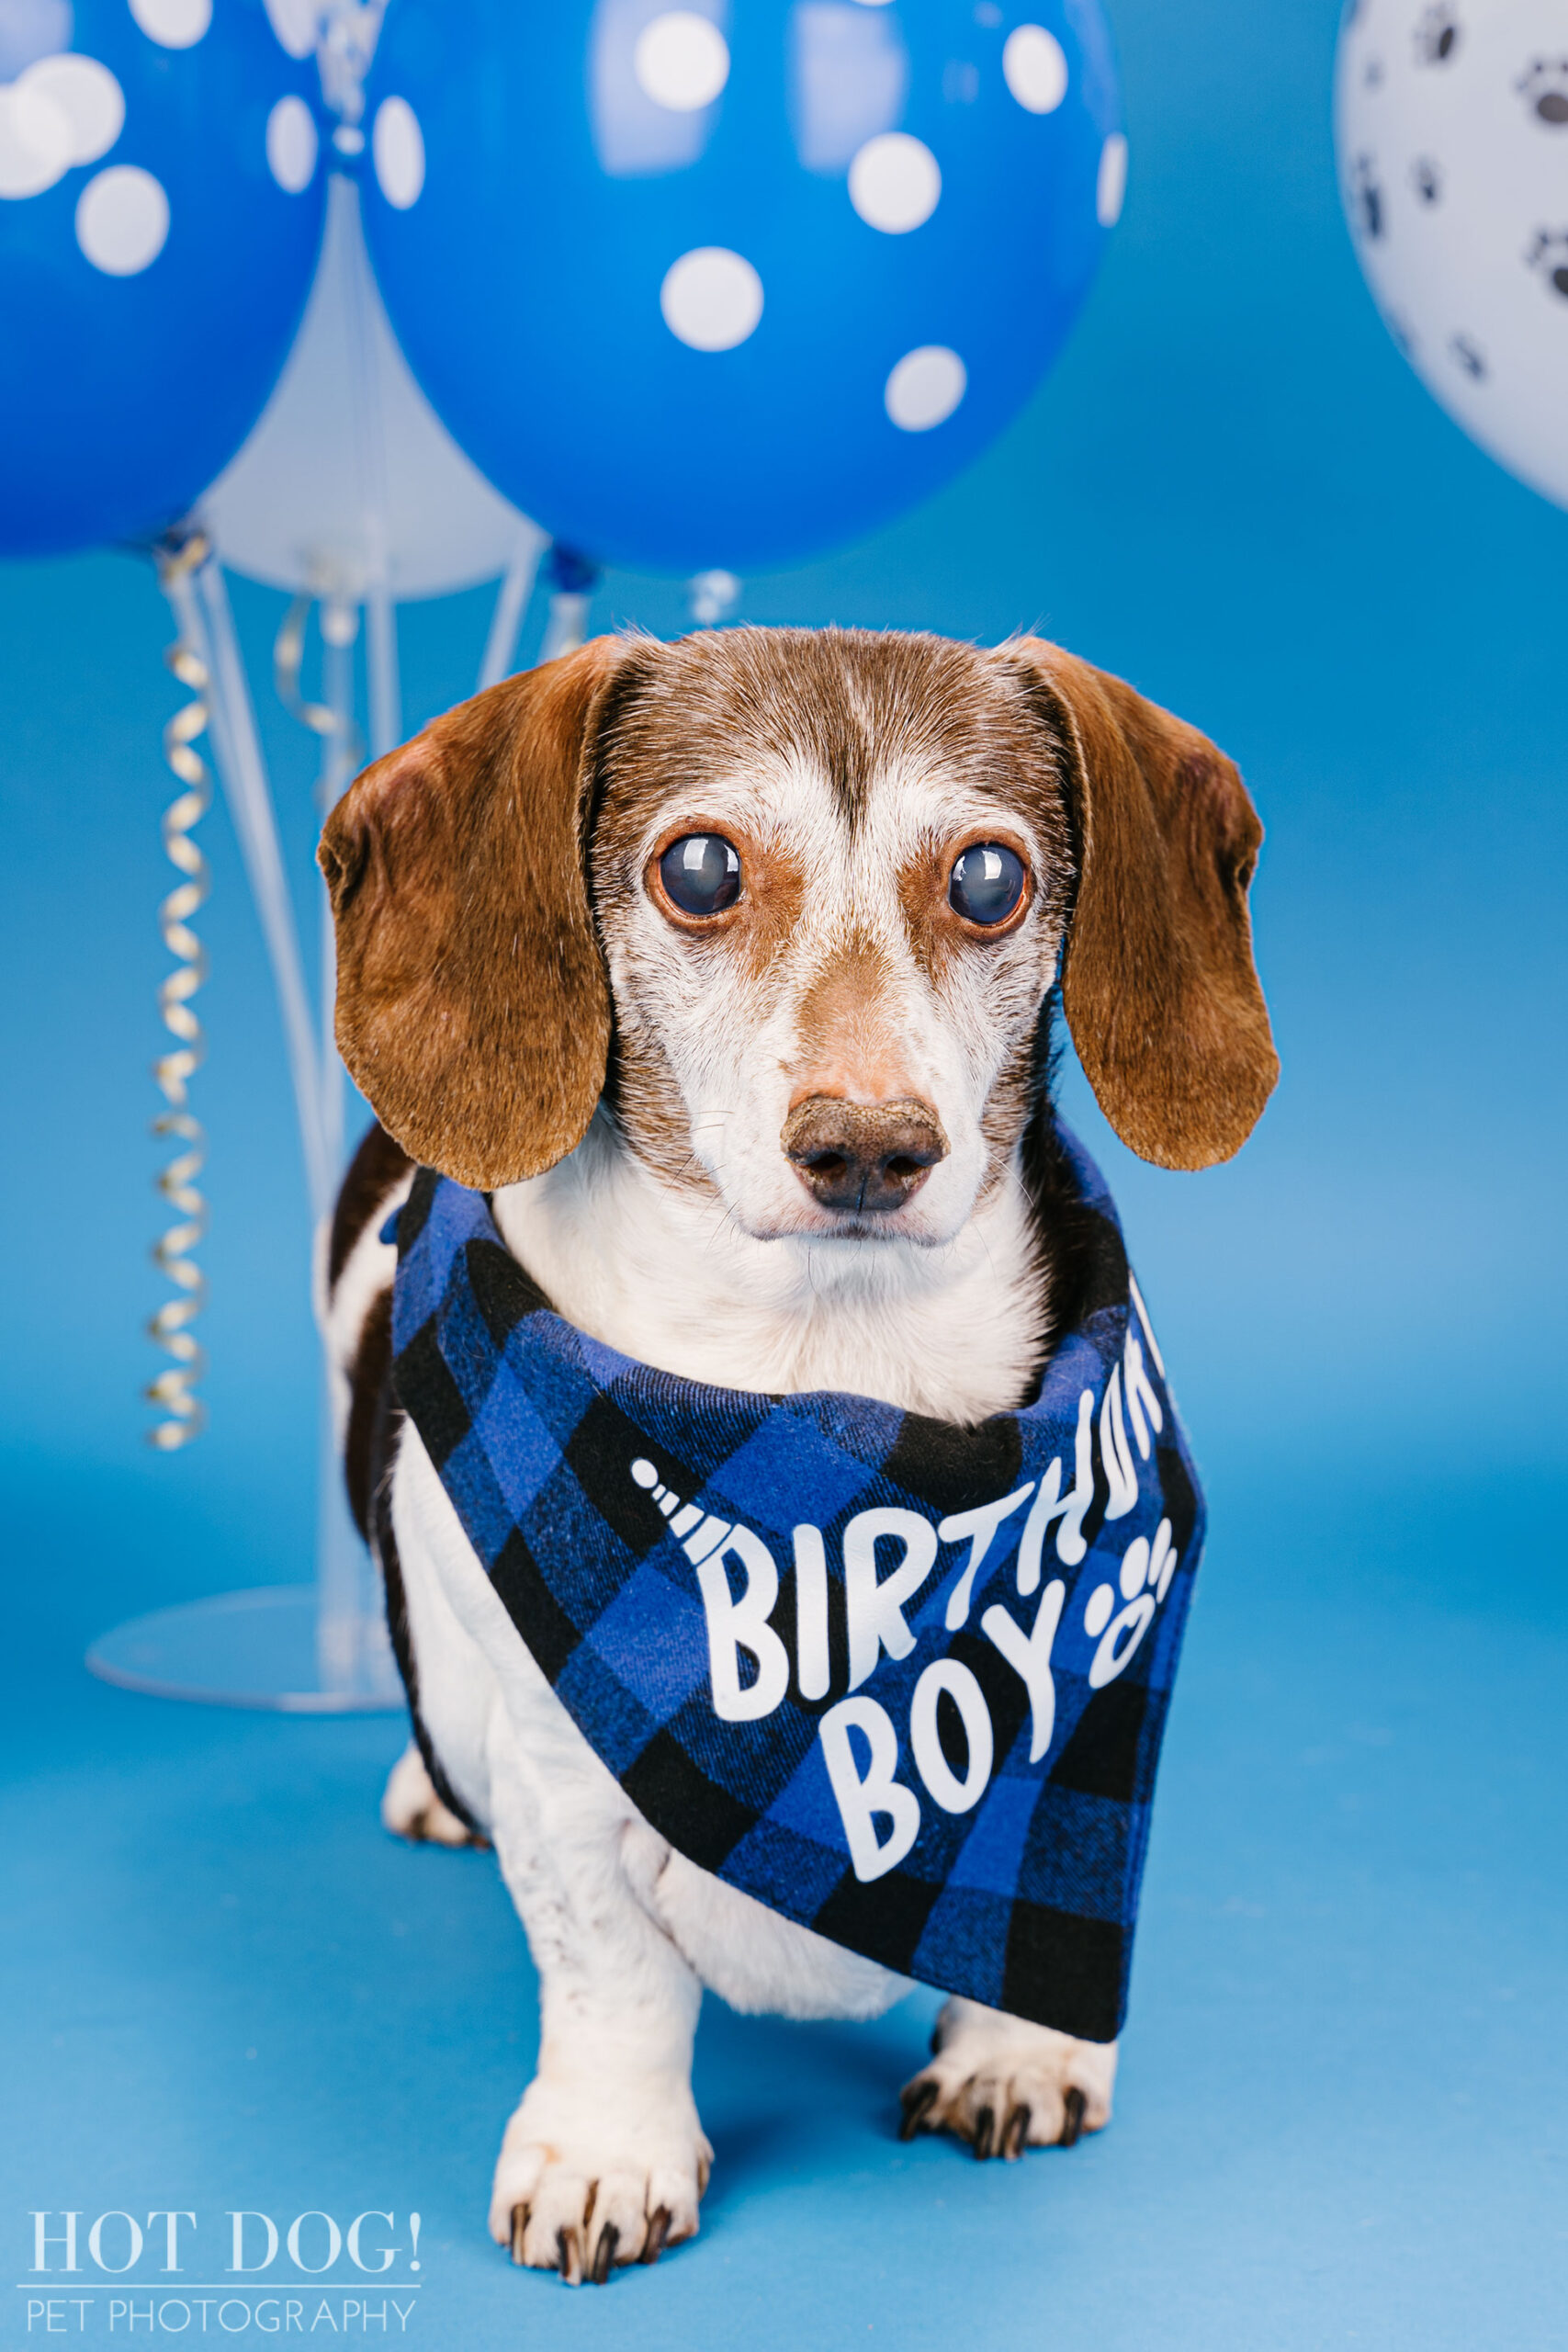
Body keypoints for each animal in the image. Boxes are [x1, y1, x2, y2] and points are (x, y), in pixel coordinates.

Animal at [320, 625, 1279, 2277]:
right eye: (700, 869)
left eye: (986, 879)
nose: (868, 1147)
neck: (826, 1390)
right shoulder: (564, 1780)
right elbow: (611, 1970)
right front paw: (606, 2147)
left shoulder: (1085, 1714)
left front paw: (1019, 2052)